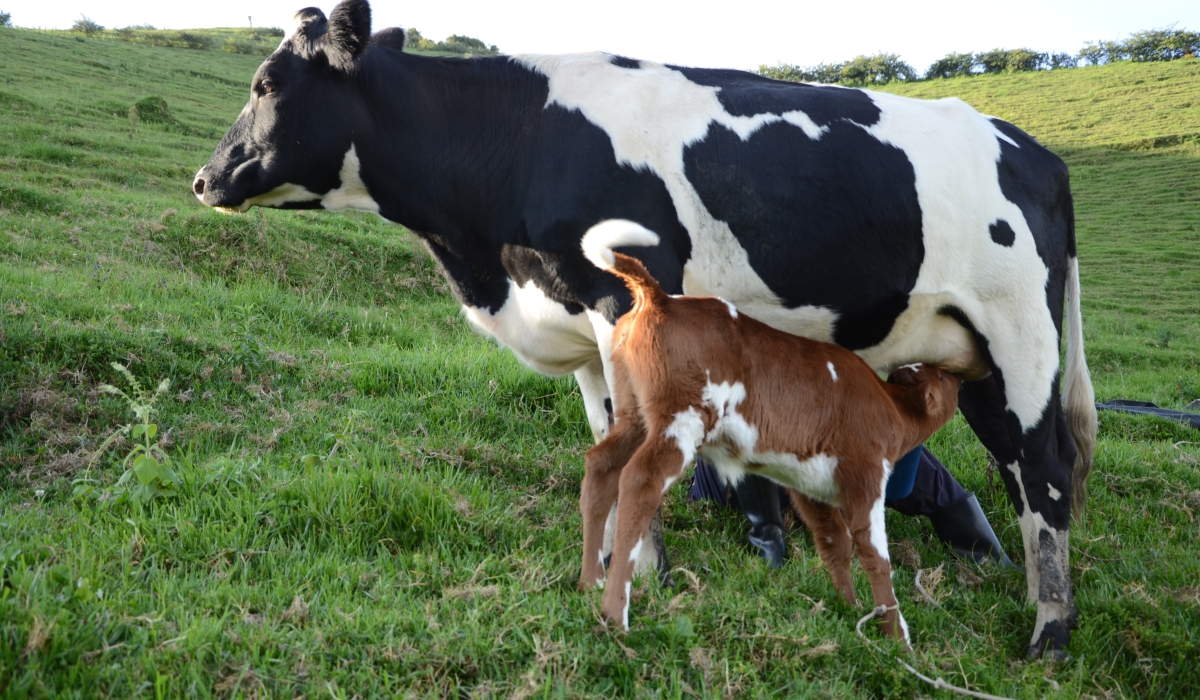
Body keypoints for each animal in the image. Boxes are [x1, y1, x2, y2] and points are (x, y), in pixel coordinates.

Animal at [576, 222, 960, 643]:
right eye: (942, 378)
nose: (959, 374)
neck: (890, 405)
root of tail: (661, 298)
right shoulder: (866, 476)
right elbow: (875, 555)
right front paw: (897, 638)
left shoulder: (810, 486)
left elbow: (835, 543)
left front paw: (849, 608)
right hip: (681, 418)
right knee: (639, 480)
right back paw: (616, 613)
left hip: (632, 415)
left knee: (601, 467)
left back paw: (589, 582)